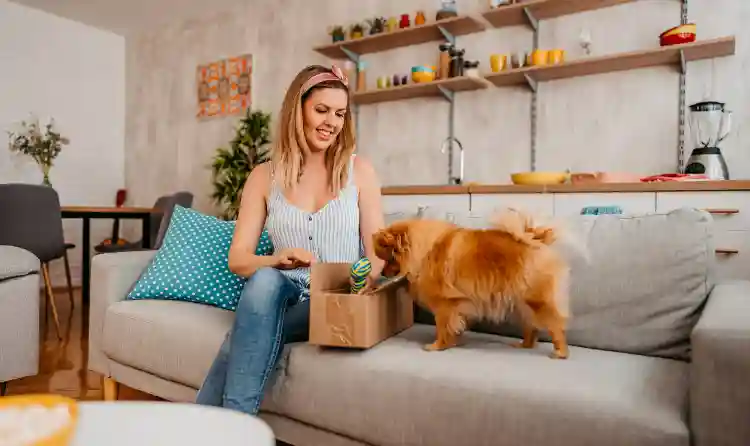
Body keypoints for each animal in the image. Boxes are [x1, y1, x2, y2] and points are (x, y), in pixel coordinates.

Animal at [374, 211, 572, 360]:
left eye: (389, 259)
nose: (382, 272)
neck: (425, 251)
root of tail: (535, 240)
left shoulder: (444, 304)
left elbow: (442, 327)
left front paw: (437, 346)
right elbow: (454, 326)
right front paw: (453, 341)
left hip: (537, 300)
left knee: (556, 324)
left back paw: (561, 352)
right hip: (523, 303)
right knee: (531, 326)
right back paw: (524, 345)